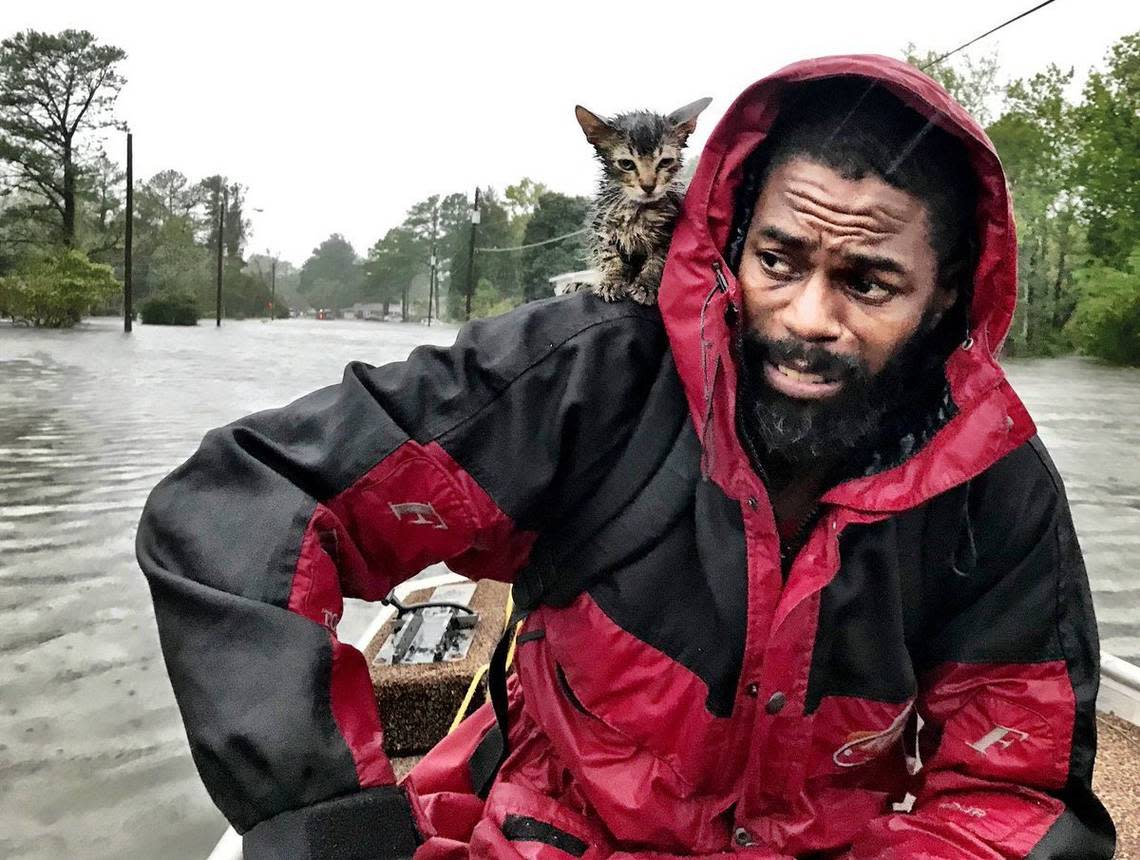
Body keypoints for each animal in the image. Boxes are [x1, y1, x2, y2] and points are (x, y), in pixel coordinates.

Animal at [574, 98, 706, 305]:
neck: (638, 210)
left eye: (665, 162)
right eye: (626, 164)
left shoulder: (669, 232)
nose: (648, 185)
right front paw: (611, 279)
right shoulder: (601, 224)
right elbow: (607, 254)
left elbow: (658, 260)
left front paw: (646, 285)